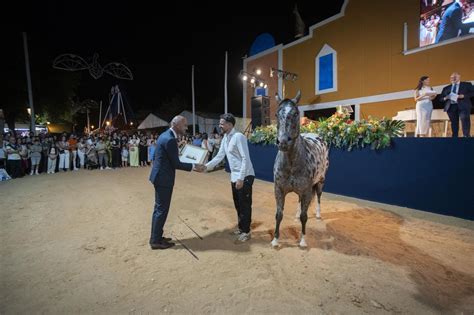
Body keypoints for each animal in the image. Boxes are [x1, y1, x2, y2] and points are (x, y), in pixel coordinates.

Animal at [270, 91, 330, 249]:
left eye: (296, 113)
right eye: (277, 114)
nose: (283, 142)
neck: (292, 164)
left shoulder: (307, 191)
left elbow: (305, 216)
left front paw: (303, 241)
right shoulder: (279, 189)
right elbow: (279, 214)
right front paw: (275, 240)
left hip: (320, 181)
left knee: (319, 197)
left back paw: (318, 214)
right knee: (299, 201)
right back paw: (296, 215)